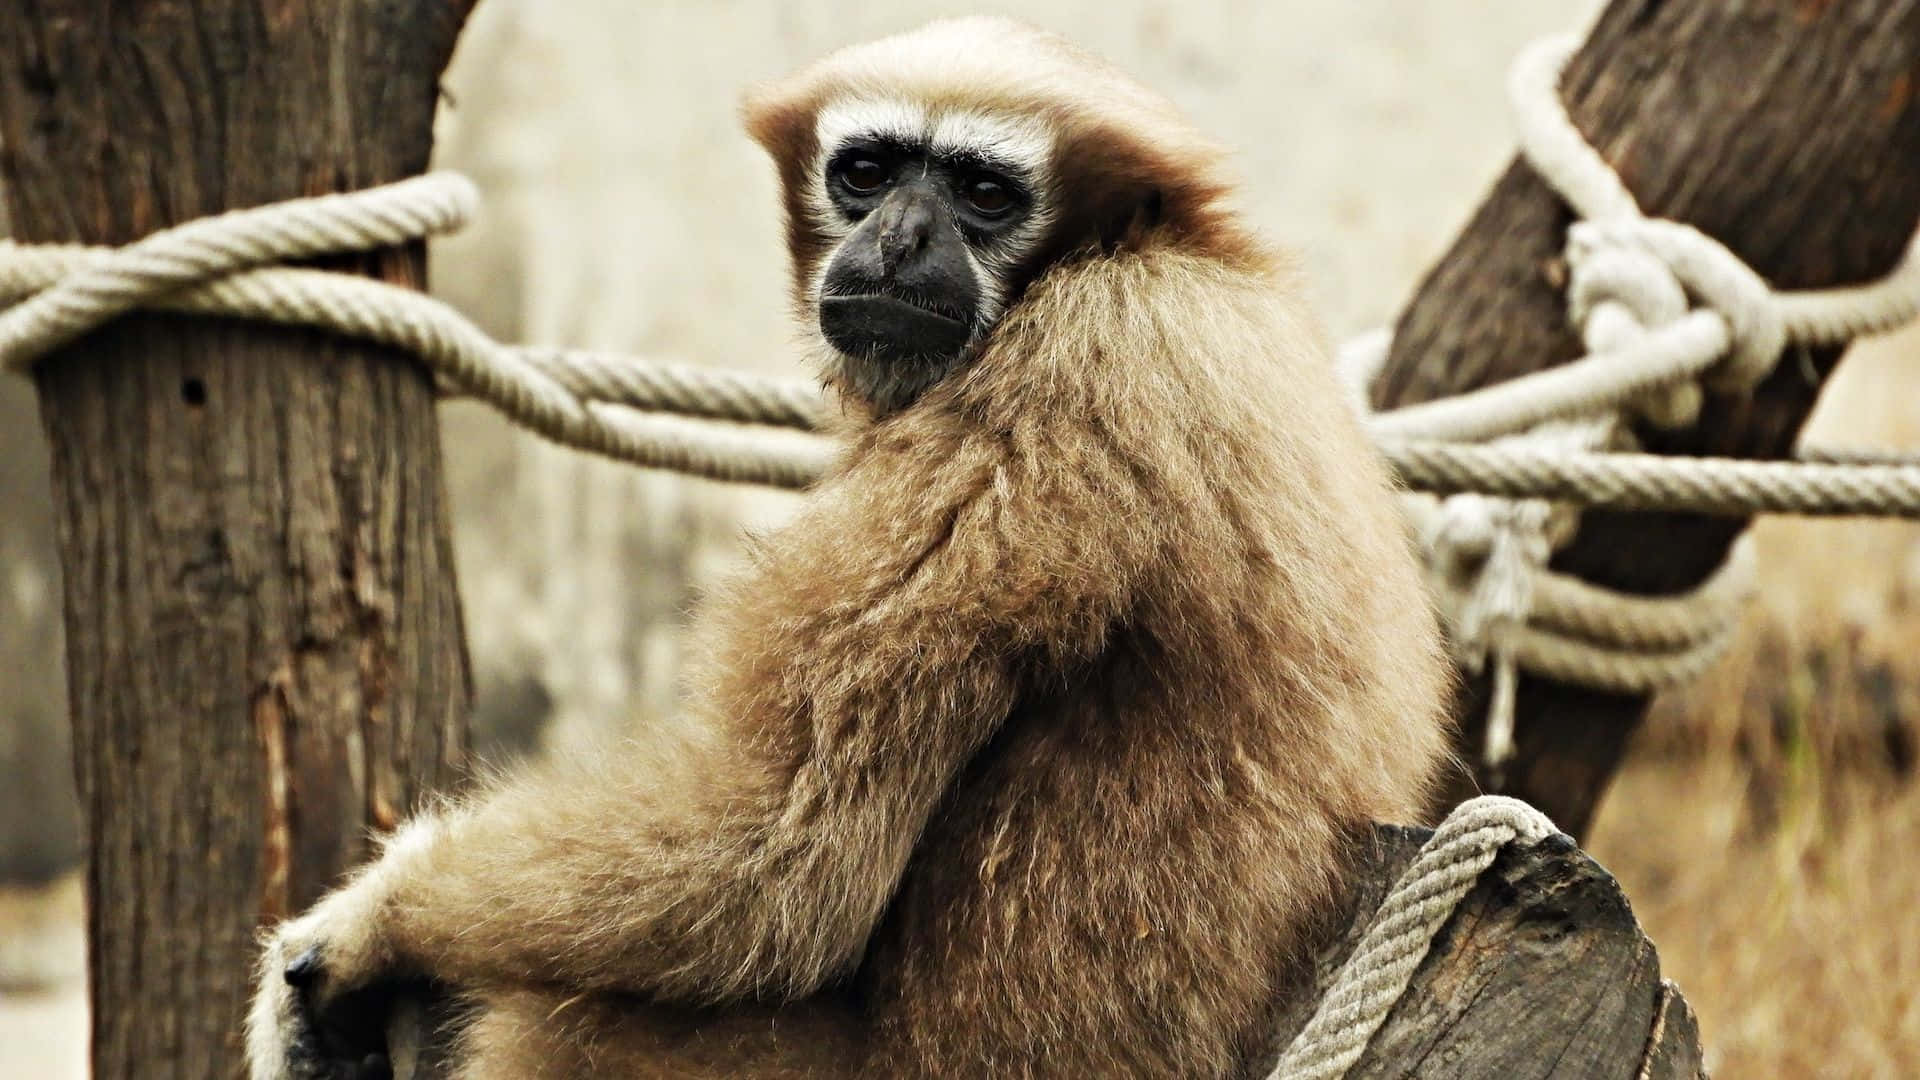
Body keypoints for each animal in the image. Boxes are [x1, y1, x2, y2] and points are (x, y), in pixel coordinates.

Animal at [246, 17, 1450, 1080]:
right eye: (867, 172)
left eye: (984, 194)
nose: (901, 237)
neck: (1157, 259)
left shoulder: (1064, 381)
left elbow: (772, 859)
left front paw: (368, 925)